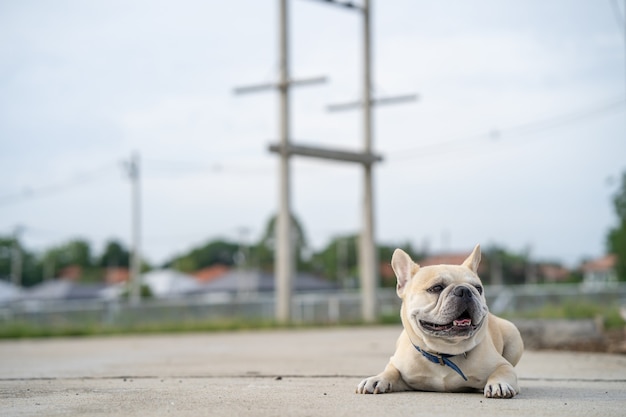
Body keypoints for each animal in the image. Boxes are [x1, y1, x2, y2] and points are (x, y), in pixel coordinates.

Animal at [356, 245, 520, 398]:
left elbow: (502, 371)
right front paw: (376, 379)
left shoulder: (503, 365)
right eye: (436, 288)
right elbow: (391, 371)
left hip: (513, 335)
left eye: (478, 288)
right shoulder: (397, 365)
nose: (465, 290)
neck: (443, 355)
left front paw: (499, 384)